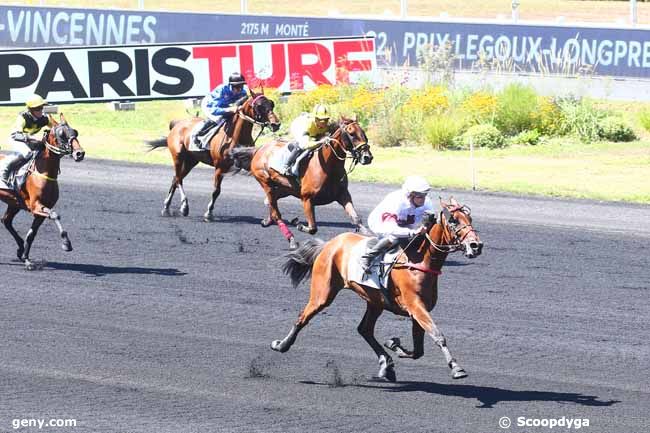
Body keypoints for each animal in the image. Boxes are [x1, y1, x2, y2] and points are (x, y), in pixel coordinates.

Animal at [0, 115, 85, 270]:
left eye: (75, 132)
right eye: (61, 134)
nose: (79, 153)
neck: (44, 172)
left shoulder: (41, 212)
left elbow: (31, 235)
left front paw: (27, 260)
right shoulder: (36, 206)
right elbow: (55, 215)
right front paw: (66, 243)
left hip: (13, 203)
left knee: (6, 221)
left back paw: (20, 249)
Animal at [144, 90, 278, 221]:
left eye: (271, 104)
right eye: (259, 106)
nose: (276, 124)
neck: (234, 136)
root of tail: (177, 124)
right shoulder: (219, 167)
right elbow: (216, 191)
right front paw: (209, 213)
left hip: (190, 161)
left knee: (175, 179)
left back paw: (167, 208)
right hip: (178, 156)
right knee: (178, 179)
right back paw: (183, 206)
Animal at [230, 115, 372, 250]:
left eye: (363, 132)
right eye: (351, 133)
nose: (367, 157)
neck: (327, 166)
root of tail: (259, 149)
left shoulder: (343, 195)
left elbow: (356, 219)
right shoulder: (307, 198)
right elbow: (313, 228)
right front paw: (297, 223)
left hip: (285, 189)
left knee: (270, 202)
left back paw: (267, 220)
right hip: (265, 182)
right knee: (276, 213)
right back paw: (291, 240)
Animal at [270, 197, 480, 380]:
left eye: (469, 219)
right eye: (453, 220)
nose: (476, 245)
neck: (419, 261)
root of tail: (330, 244)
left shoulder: (418, 310)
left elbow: (418, 350)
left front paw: (394, 344)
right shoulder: (416, 306)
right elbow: (437, 335)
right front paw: (456, 368)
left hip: (374, 301)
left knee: (364, 329)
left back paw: (386, 364)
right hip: (323, 293)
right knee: (303, 317)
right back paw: (281, 345)